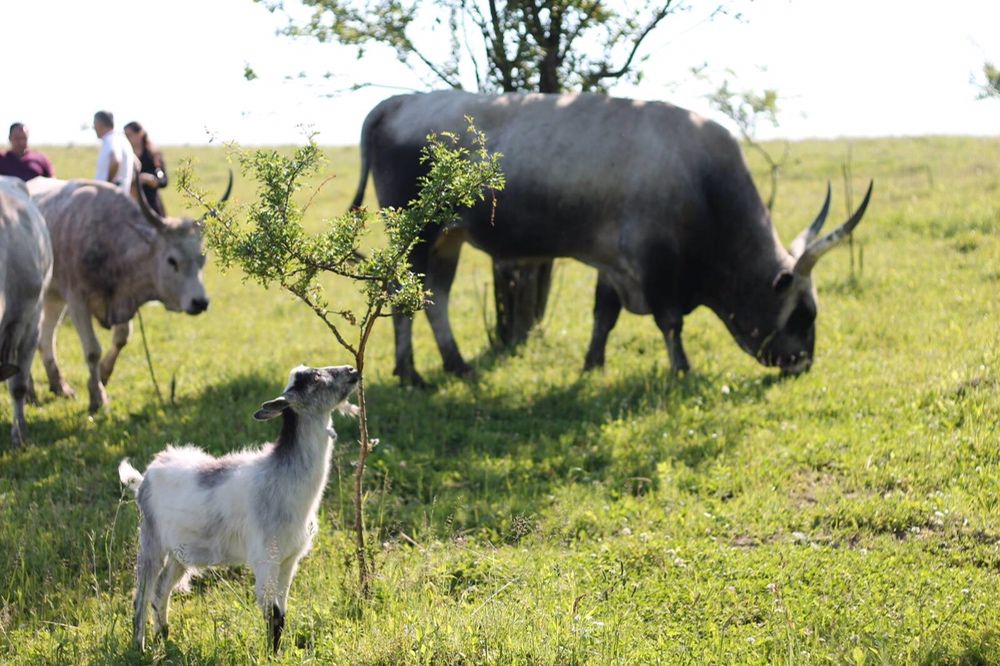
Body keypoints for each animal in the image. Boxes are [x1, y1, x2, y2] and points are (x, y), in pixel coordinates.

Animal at [27, 178, 232, 416]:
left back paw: (59, 385)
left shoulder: (125, 299)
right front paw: (97, 398)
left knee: (45, 336)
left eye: (202, 259)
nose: (200, 302)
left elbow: (121, 338)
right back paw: (30, 392)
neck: (109, 240)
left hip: (54, 297)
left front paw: (102, 376)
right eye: (172, 260)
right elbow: (92, 351)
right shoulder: (77, 301)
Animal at [356, 92, 872, 384]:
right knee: (401, 296)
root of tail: (397, 102)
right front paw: (682, 371)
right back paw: (411, 374)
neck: (702, 182)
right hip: (418, 234)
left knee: (436, 297)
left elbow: (603, 316)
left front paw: (592, 364)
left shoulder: (614, 263)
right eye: (803, 314)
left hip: (449, 239)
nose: (803, 364)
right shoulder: (655, 264)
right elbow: (670, 323)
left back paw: (456, 365)